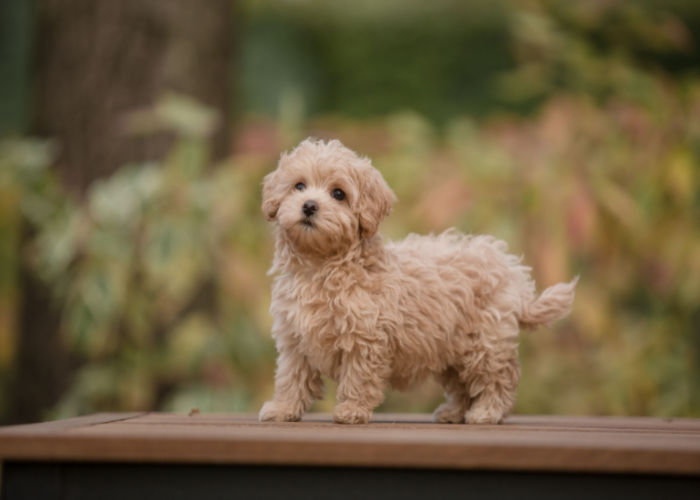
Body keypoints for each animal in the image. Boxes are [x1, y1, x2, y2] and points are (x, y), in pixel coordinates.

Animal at [260, 138, 576, 426]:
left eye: (338, 194)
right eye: (299, 186)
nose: (309, 206)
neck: (320, 267)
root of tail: (511, 269)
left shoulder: (365, 338)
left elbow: (358, 377)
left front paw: (351, 410)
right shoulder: (295, 339)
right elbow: (291, 378)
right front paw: (282, 409)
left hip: (485, 342)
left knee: (497, 379)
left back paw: (486, 412)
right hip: (451, 349)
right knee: (462, 385)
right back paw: (453, 413)